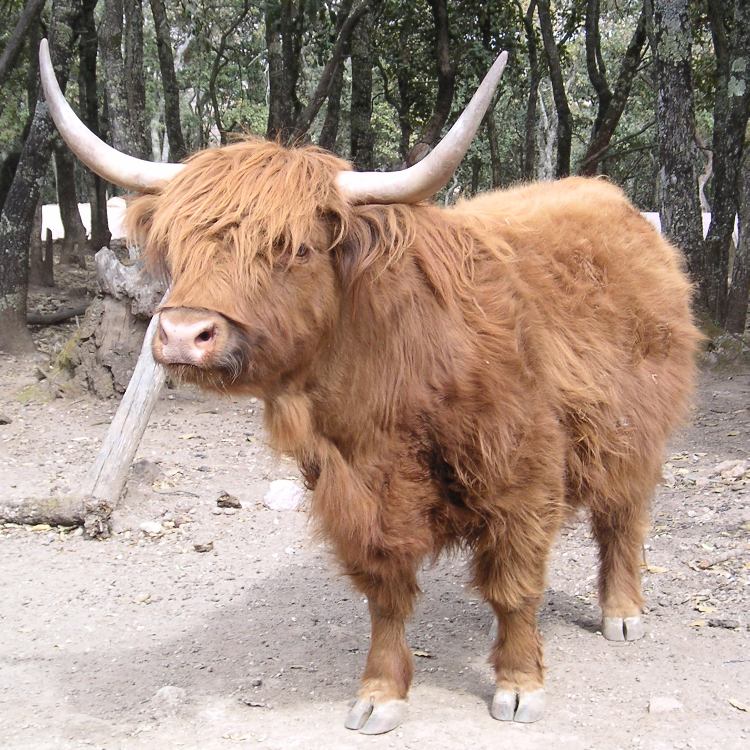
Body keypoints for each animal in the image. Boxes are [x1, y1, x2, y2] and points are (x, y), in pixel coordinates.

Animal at [40, 41, 701, 734]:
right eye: (179, 245)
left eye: (294, 249)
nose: (180, 333)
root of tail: (614, 202)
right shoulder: (355, 493)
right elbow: (385, 595)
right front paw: (381, 692)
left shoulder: (522, 475)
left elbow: (514, 586)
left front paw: (519, 684)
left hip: (633, 431)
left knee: (622, 515)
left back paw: (622, 611)